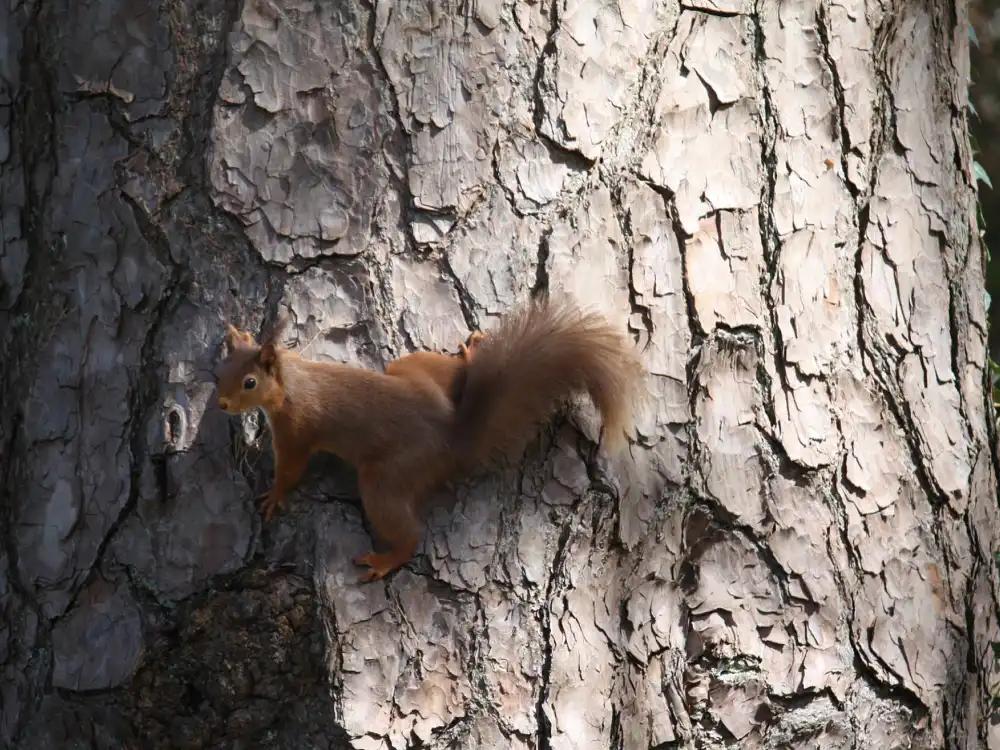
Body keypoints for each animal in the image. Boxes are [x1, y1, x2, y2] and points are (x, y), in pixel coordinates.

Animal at [215, 296, 644, 584]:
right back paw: (470, 355)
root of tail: (449, 436)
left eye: (249, 383)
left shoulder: (295, 430)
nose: (221, 404)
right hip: (410, 372)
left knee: (408, 532)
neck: (290, 380)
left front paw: (274, 496)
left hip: (385, 478)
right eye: (221, 369)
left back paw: (385, 560)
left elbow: (290, 468)